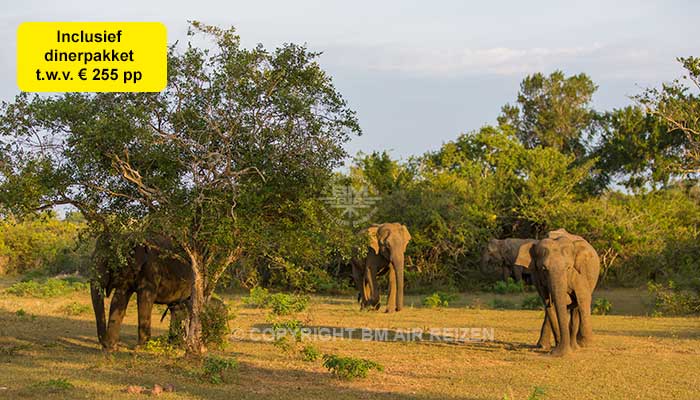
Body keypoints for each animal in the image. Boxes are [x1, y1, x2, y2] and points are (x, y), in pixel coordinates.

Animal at [516, 228, 600, 356]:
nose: (558, 351)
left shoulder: (579, 272)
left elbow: (581, 297)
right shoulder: (537, 276)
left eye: (568, 268)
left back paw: (575, 346)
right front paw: (558, 349)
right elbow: (548, 303)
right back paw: (544, 345)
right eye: (544, 269)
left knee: (575, 309)